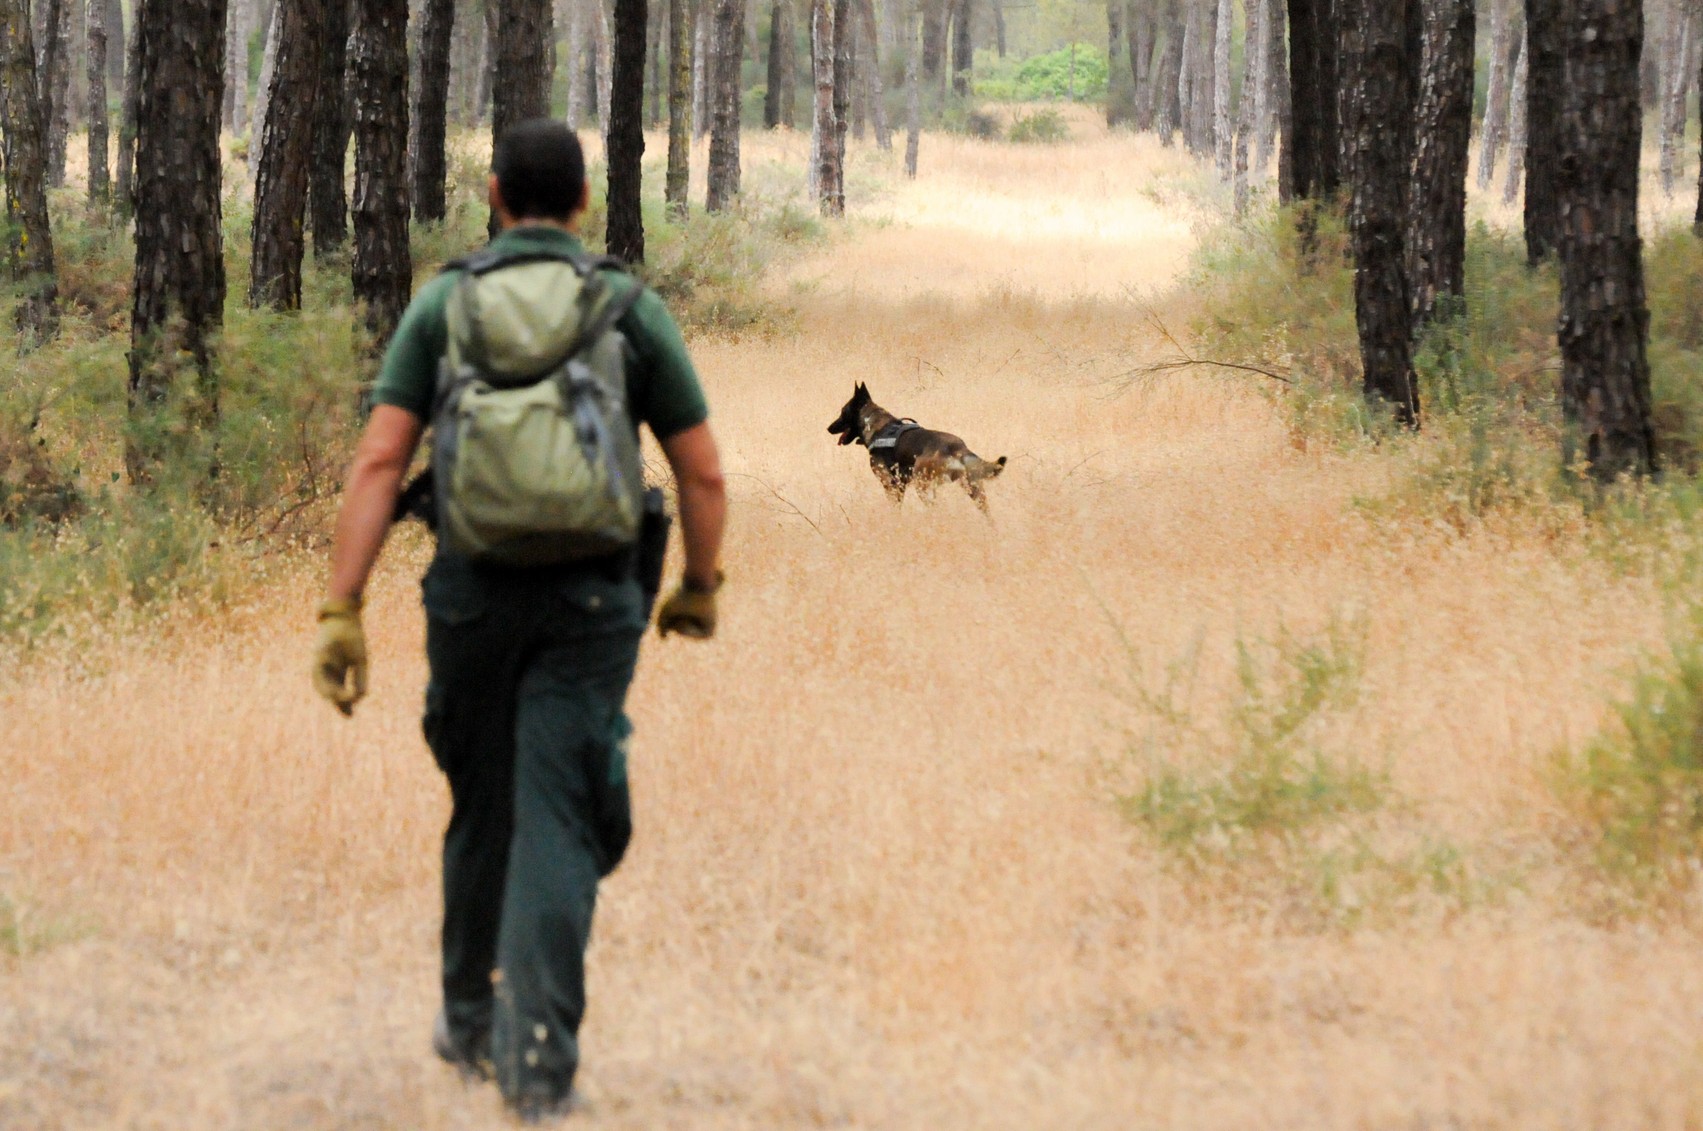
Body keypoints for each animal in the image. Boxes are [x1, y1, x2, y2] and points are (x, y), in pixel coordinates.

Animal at [827, 386, 1001, 514]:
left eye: (842, 412)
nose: (828, 428)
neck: (876, 424)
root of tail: (957, 448)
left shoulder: (890, 485)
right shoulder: (900, 486)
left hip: (923, 487)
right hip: (974, 489)